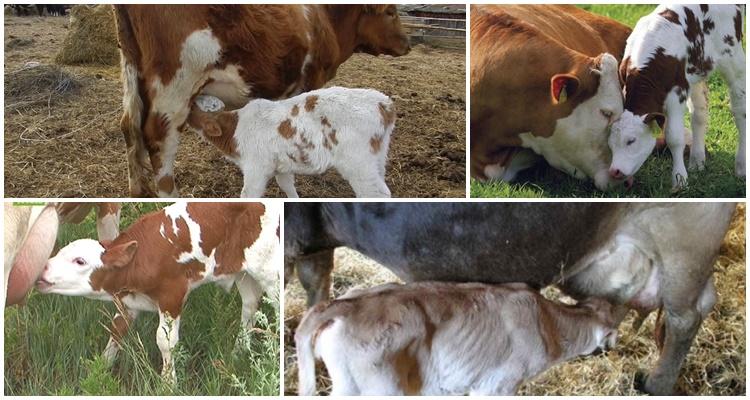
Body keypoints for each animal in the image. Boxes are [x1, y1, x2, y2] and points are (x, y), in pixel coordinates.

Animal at [37, 202, 279, 380]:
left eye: (80, 261)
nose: (42, 269)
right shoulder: (128, 299)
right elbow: (117, 328)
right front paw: (101, 366)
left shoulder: (172, 293)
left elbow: (165, 341)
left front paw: (167, 383)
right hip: (243, 271)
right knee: (250, 304)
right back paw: (239, 351)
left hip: (270, 273)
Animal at [186, 87, 395, 198]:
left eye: (193, 104)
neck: (234, 129)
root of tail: (383, 103)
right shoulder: (281, 167)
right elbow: (287, 186)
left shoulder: (256, 169)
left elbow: (248, 194)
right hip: (378, 157)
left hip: (358, 164)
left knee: (377, 193)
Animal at [608, 5, 746, 190]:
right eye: (610, 144)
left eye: (631, 140)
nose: (614, 171)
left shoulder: (677, 93)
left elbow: (673, 137)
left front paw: (679, 179)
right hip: (697, 70)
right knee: (699, 112)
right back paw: (697, 161)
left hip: (732, 56)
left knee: (740, 109)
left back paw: (741, 167)